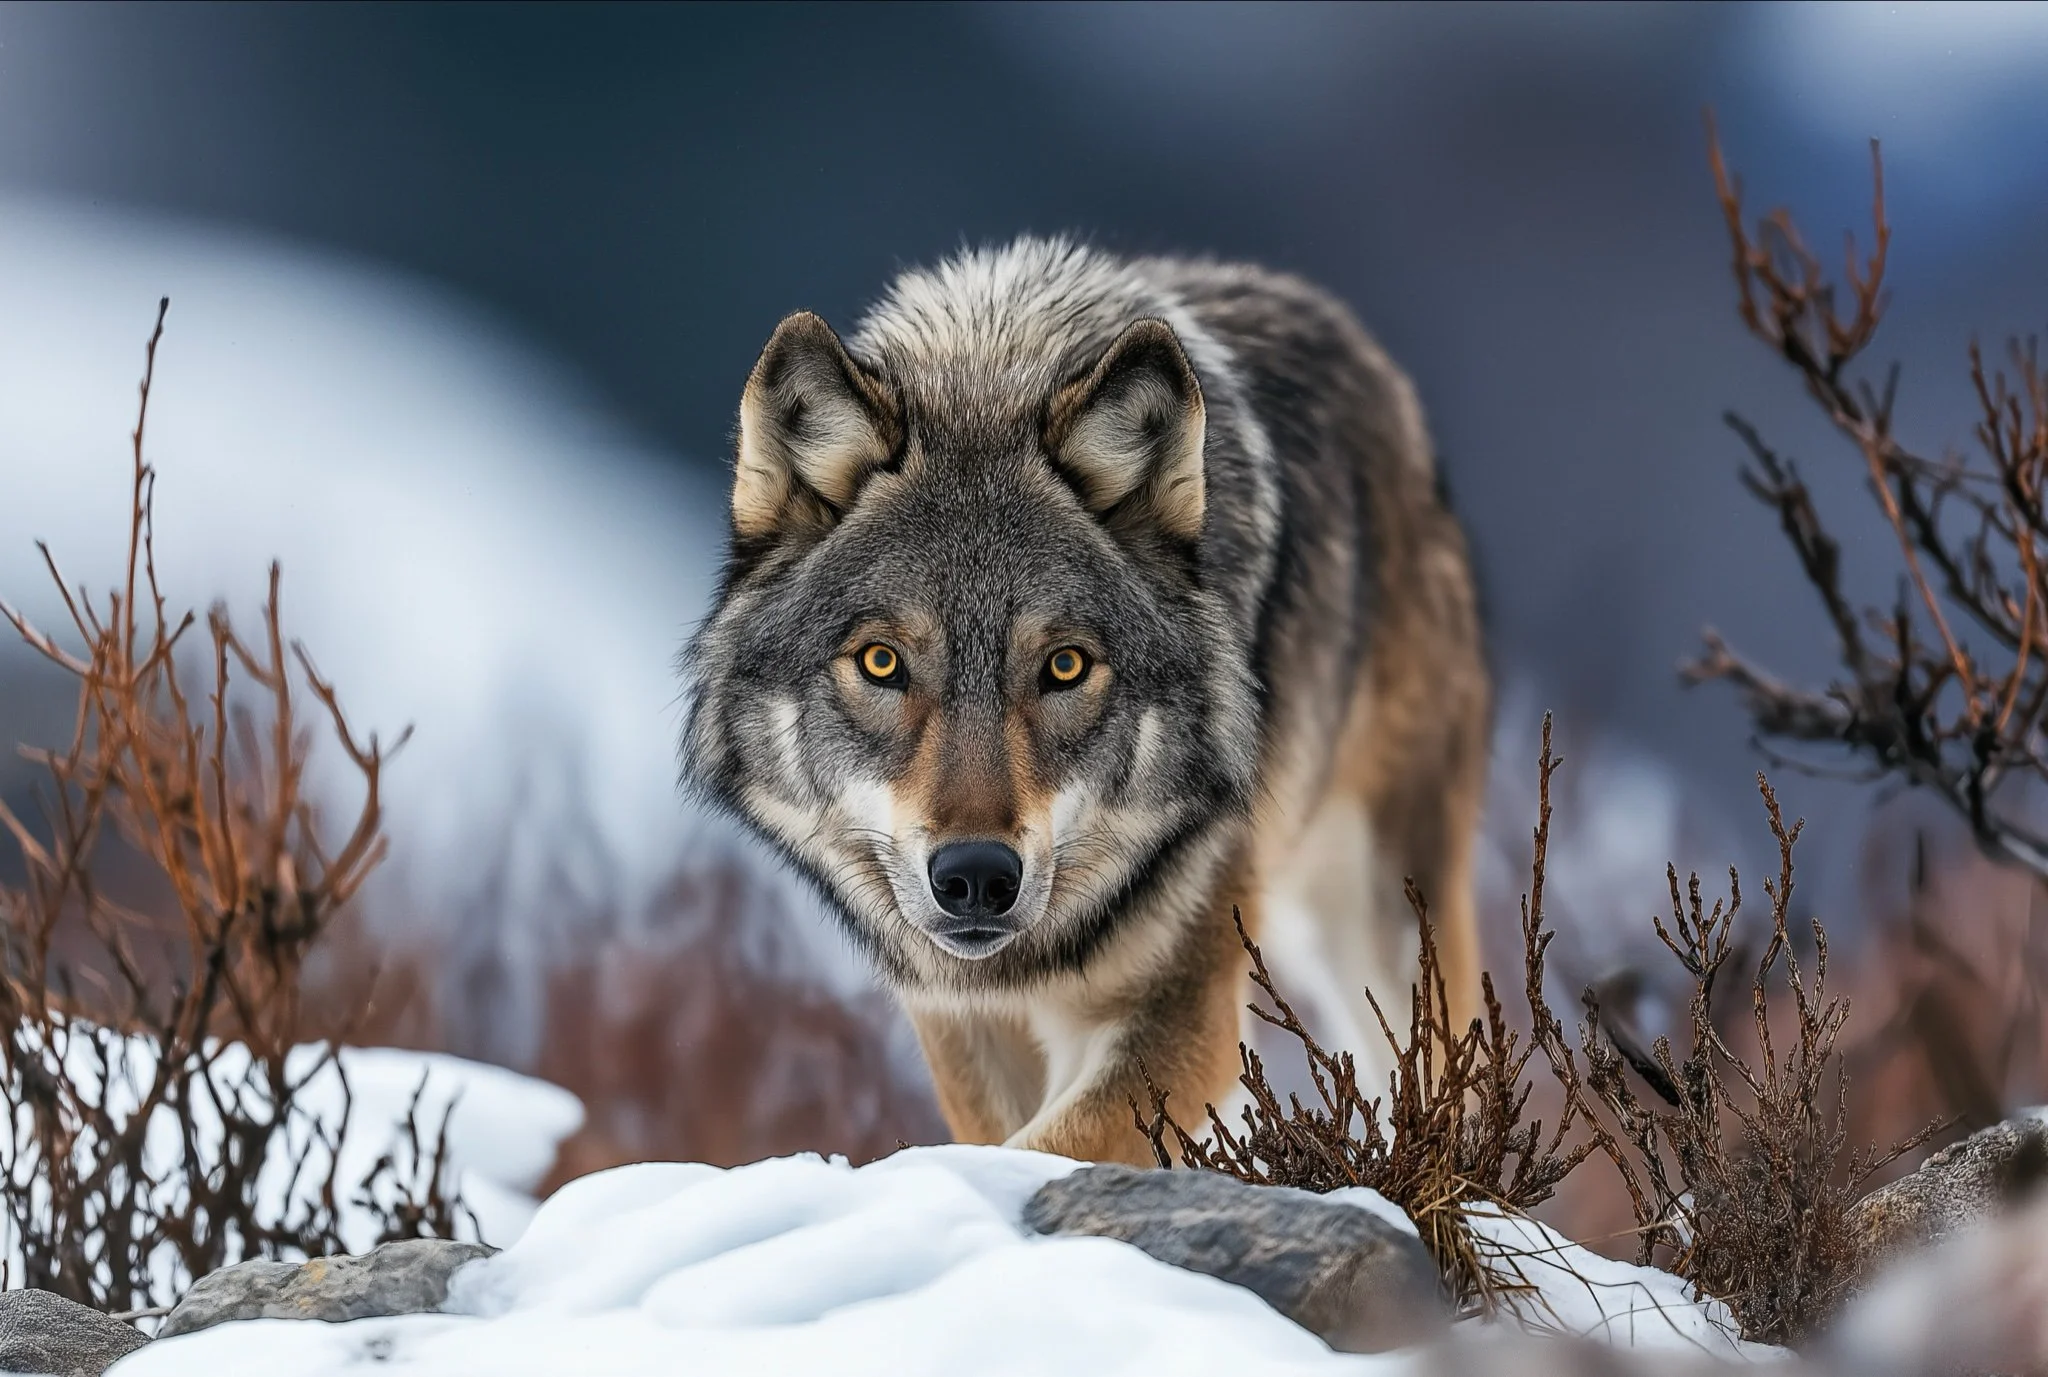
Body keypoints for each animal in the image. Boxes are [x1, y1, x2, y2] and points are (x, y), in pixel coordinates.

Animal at [683, 238, 1489, 1165]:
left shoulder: (1183, 1012)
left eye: (1065, 667)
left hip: (1387, 922)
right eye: (883, 662)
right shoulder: (959, 1017)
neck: (990, 364)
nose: (975, 876)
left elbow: (1041, 1148)